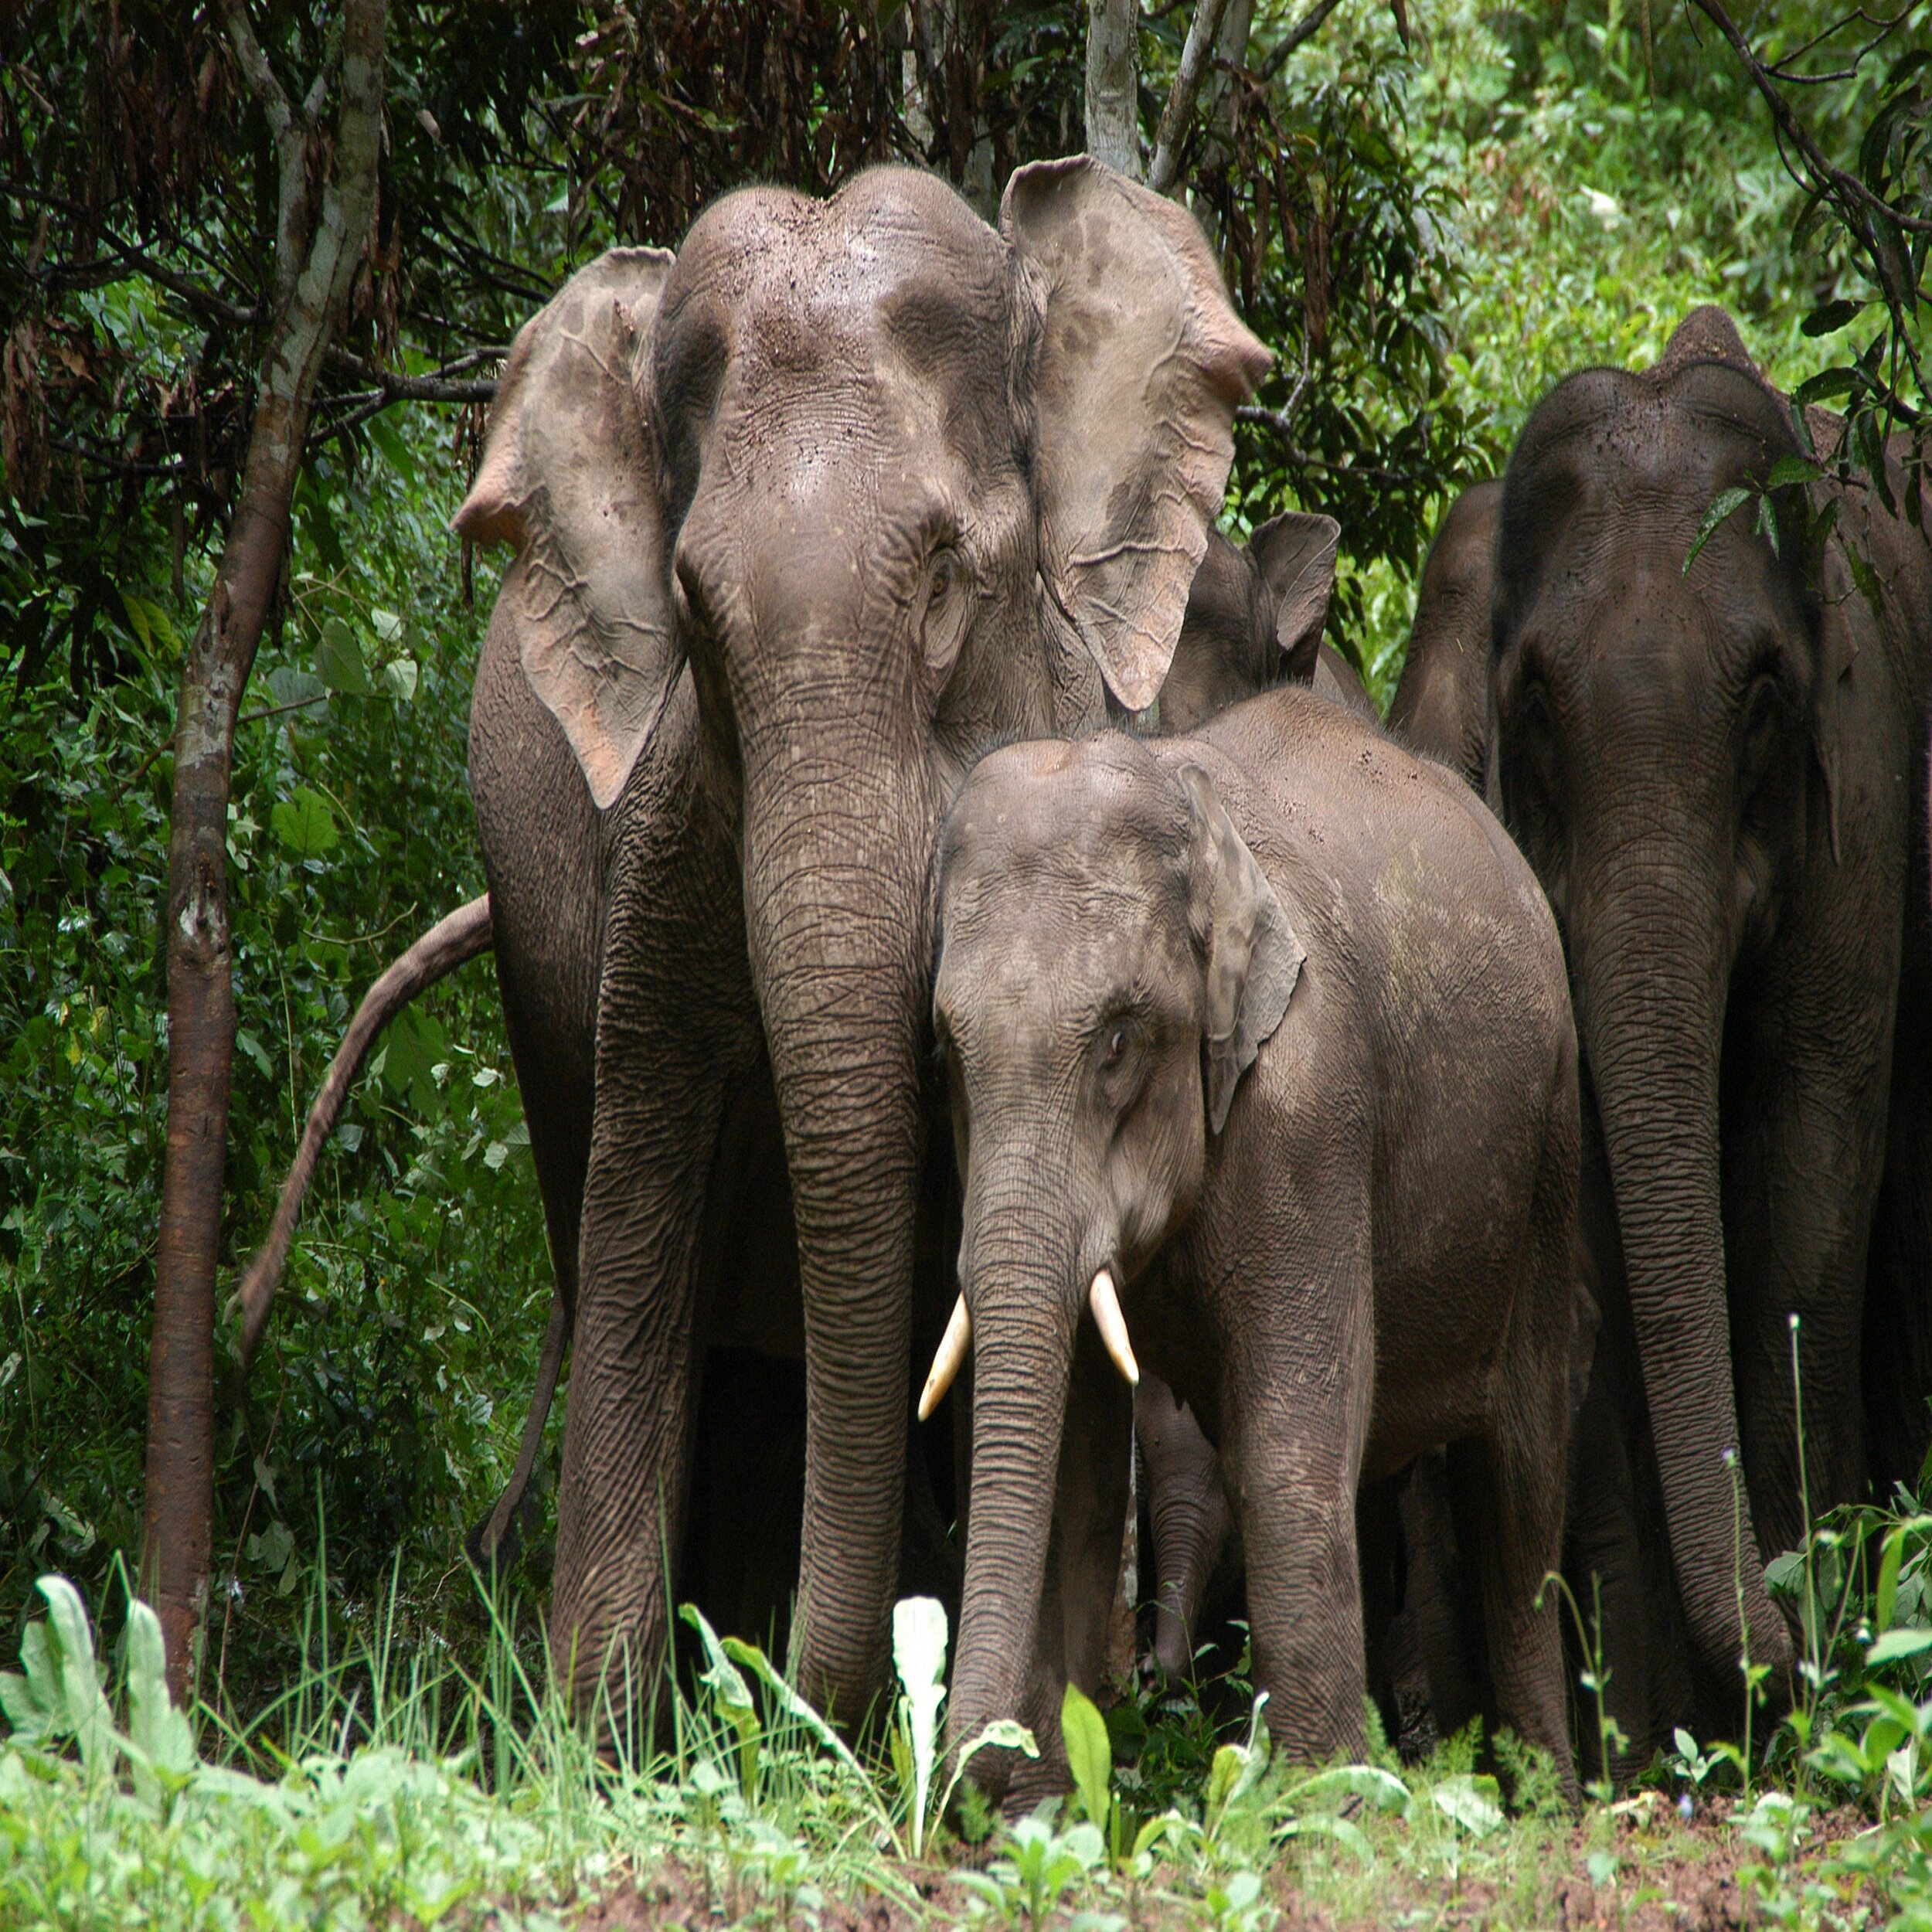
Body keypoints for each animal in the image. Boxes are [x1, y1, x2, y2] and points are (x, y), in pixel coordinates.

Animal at [922, 685, 1581, 1797]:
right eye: (945, 1046)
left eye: (1118, 1040)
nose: (971, 1758)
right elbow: (1081, 1464)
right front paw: (1049, 1811)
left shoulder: (1310, 1109)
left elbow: (1289, 1435)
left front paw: (1321, 1803)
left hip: (1547, 1158)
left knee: (1524, 1483)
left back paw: (1546, 1798)